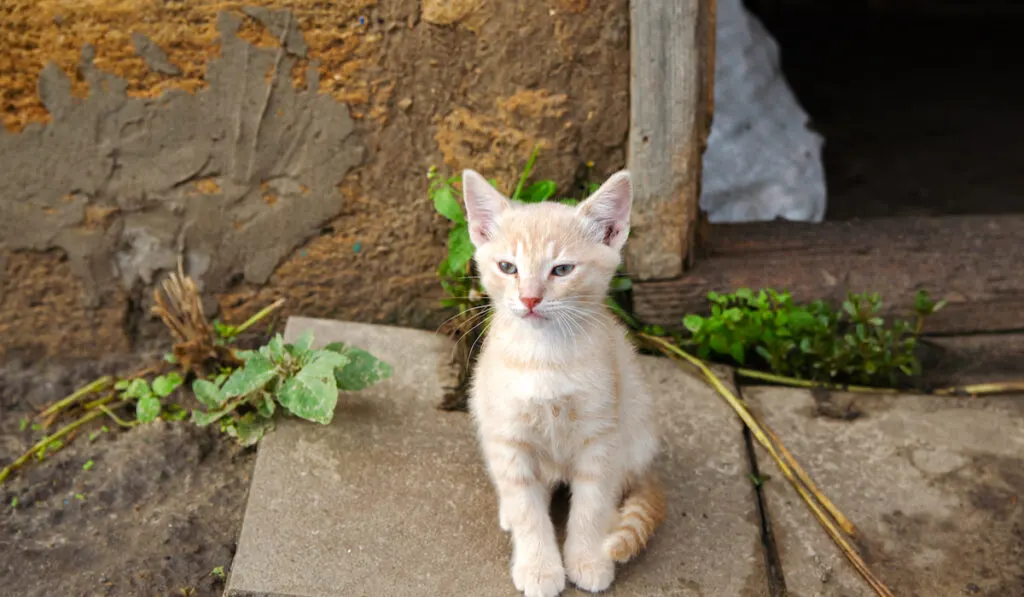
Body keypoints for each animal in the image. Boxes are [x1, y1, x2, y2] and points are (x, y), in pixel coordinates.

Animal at [462, 167, 663, 597]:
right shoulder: (509, 437)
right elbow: (527, 509)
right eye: (508, 267)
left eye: (562, 270)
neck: (545, 358)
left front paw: (586, 558)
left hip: (636, 424)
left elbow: (591, 504)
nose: (530, 299)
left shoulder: (600, 437)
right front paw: (539, 567)